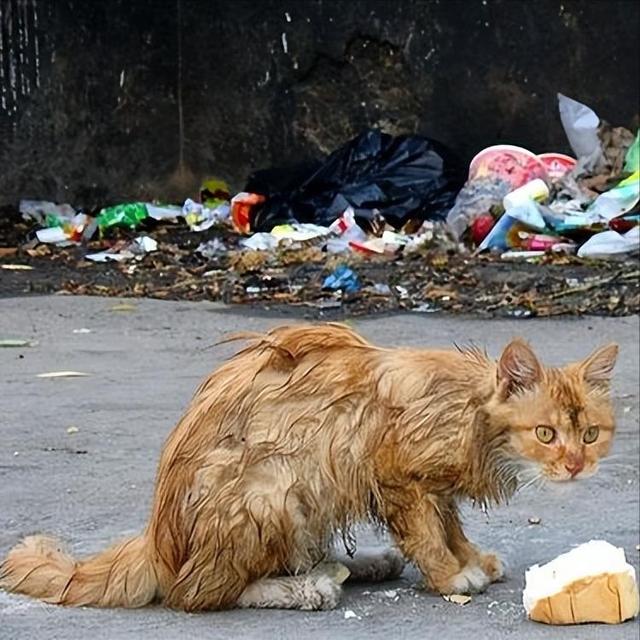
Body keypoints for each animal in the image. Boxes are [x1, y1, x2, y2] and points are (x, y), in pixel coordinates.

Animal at [0, 322, 620, 612]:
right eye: (546, 434)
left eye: (590, 434)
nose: (574, 465)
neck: (469, 410)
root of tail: (157, 536)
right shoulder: (393, 470)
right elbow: (427, 531)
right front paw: (449, 575)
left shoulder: (428, 484)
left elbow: (447, 521)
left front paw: (468, 557)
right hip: (273, 488)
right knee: (196, 593)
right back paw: (305, 588)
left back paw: (360, 564)